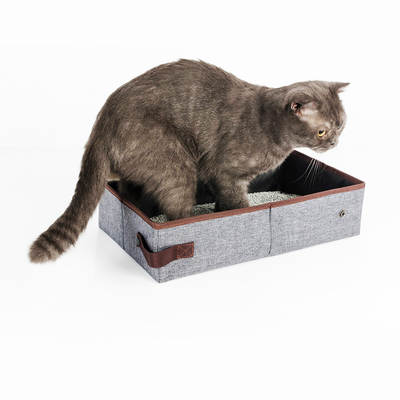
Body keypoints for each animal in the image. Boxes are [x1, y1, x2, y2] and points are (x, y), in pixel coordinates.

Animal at [29, 59, 348, 263]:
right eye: (322, 130)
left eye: (341, 124)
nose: (334, 141)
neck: (268, 126)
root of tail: (100, 126)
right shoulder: (226, 172)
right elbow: (237, 202)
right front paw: (233, 213)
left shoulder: (220, 178)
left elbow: (224, 201)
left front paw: (220, 210)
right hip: (175, 164)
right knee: (175, 212)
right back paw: (192, 218)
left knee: (129, 193)